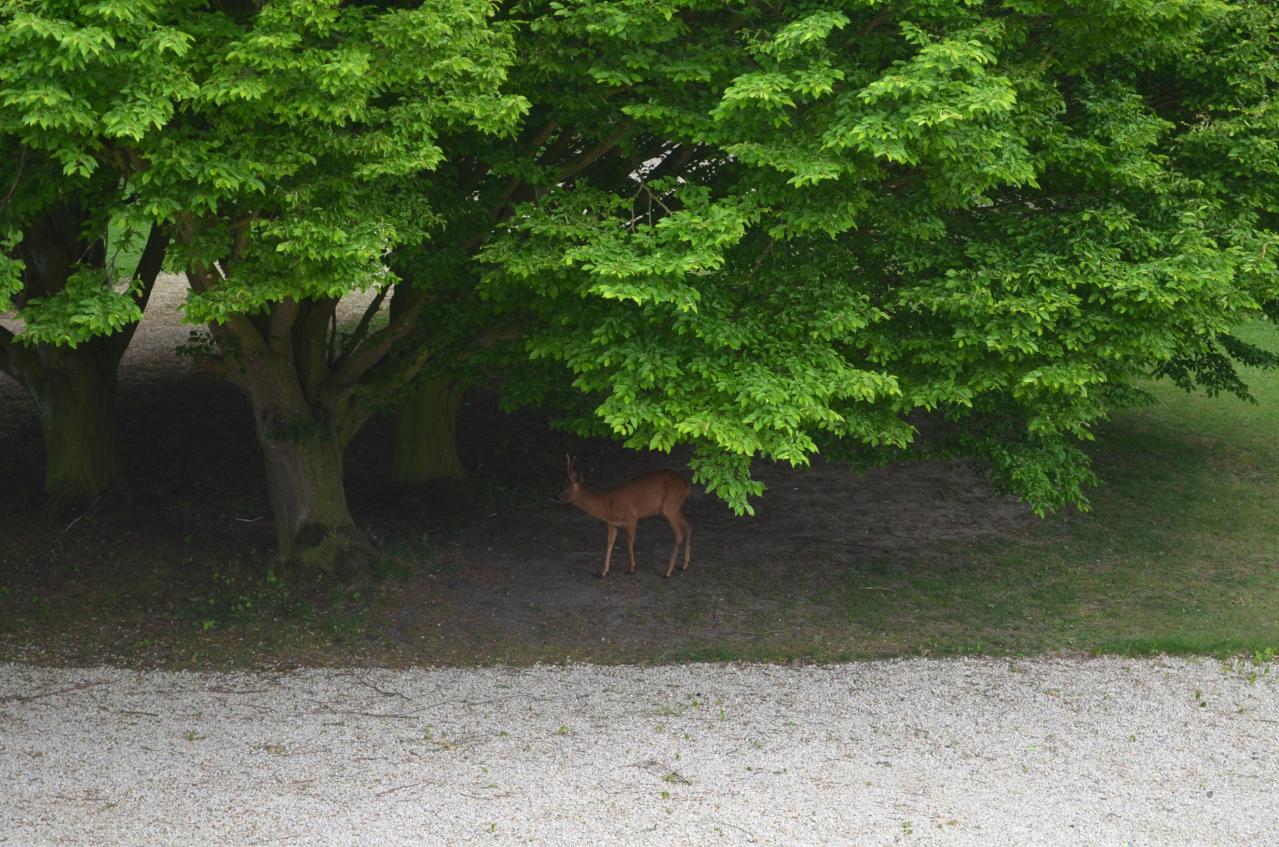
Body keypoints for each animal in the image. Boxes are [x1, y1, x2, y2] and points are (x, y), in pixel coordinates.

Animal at [560, 455, 695, 580]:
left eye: (565, 489)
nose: (556, 496)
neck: (607, 505)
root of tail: (687, 485)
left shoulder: (631, 517)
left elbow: (629, 541)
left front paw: (631, 568)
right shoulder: (612, 524)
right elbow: (609, 544)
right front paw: (603, 572)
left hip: (670, 506)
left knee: (679, 534)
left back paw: (668, 572)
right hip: (676, 507)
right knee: (688, 525)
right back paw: (684, 565)